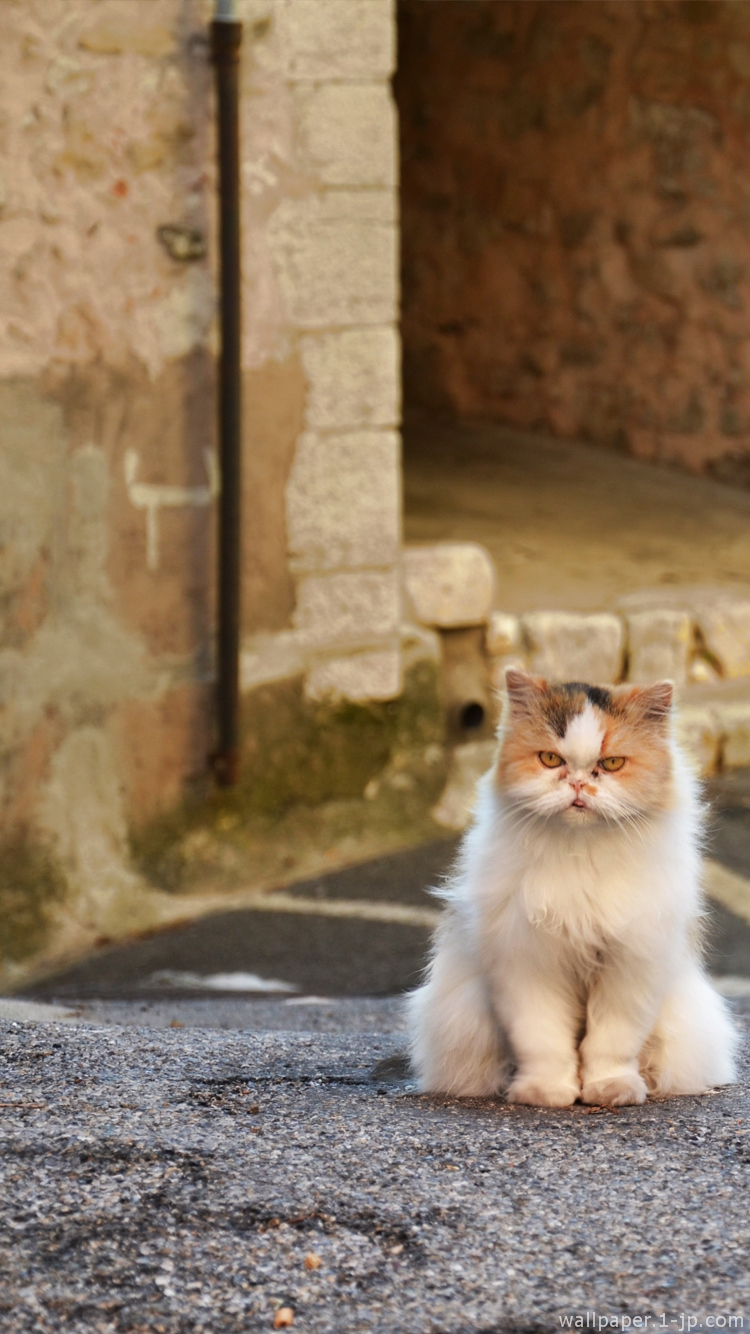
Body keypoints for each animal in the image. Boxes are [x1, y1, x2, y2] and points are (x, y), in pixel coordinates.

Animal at [405, 672, 731, 1109]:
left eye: (611, 764)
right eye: (550, 760)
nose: (577, 784)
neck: (580, 851)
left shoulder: (630, 963)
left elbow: (611, 1043)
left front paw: (611, 1090)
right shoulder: (528, 960)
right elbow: (543, 1040)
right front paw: (546, 1092)